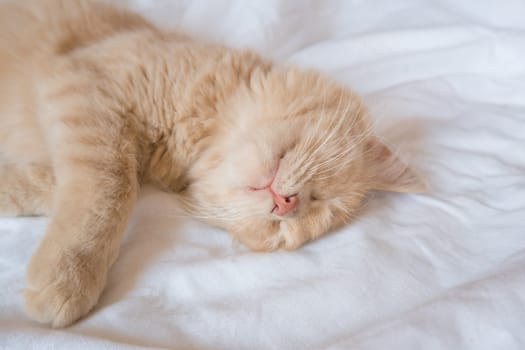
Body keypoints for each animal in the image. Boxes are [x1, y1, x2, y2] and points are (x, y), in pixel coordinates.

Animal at [0, 0, 422, 328]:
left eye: (287, 231)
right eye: (320, 198)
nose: (287, 205)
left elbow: (92, 184)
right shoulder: (85, 84)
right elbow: (111, 189)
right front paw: (68, 274)